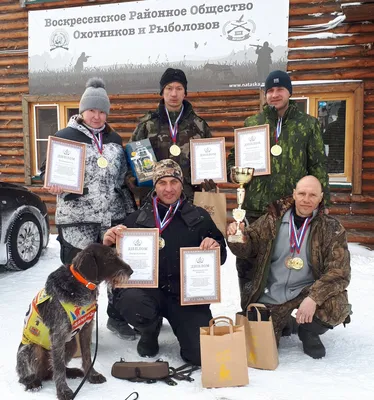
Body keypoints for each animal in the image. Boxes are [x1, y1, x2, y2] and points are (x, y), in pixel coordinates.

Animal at [16, 242, 133, 400]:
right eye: (110, 257)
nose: (131, 271)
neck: (80, 284)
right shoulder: (58, 335)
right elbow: (59, 367)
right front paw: (63, 391)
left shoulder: (86, 328)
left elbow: (87, 356)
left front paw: (92, 375)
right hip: (32, 349)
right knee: (29, 375)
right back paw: (31, 382)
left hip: (71, 345)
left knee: (51, 371)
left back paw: (72, 372)